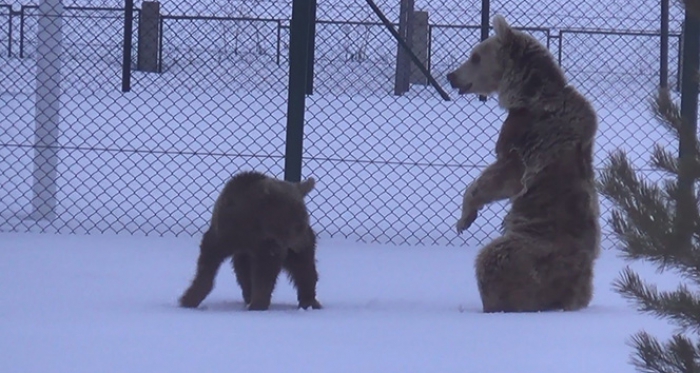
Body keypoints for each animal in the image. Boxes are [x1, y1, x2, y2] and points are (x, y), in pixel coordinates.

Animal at [180, 170, 322, 310]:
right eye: (297, 224)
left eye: (303, 221)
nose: (304, 243)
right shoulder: (224, 233)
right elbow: (207, 263)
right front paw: (188, 299)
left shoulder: (268, 245)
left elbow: (265, 273)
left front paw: (258, 303)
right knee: (243, 272)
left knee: (304, 268)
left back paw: (309, 301)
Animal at [446, 13, 600, 310]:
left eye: (475, 56)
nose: (451, 76)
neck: (528, 95)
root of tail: (575, 287)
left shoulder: (523, 137)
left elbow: (501, 177)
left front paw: (465, 217)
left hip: (531, 250)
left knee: (492, 259)